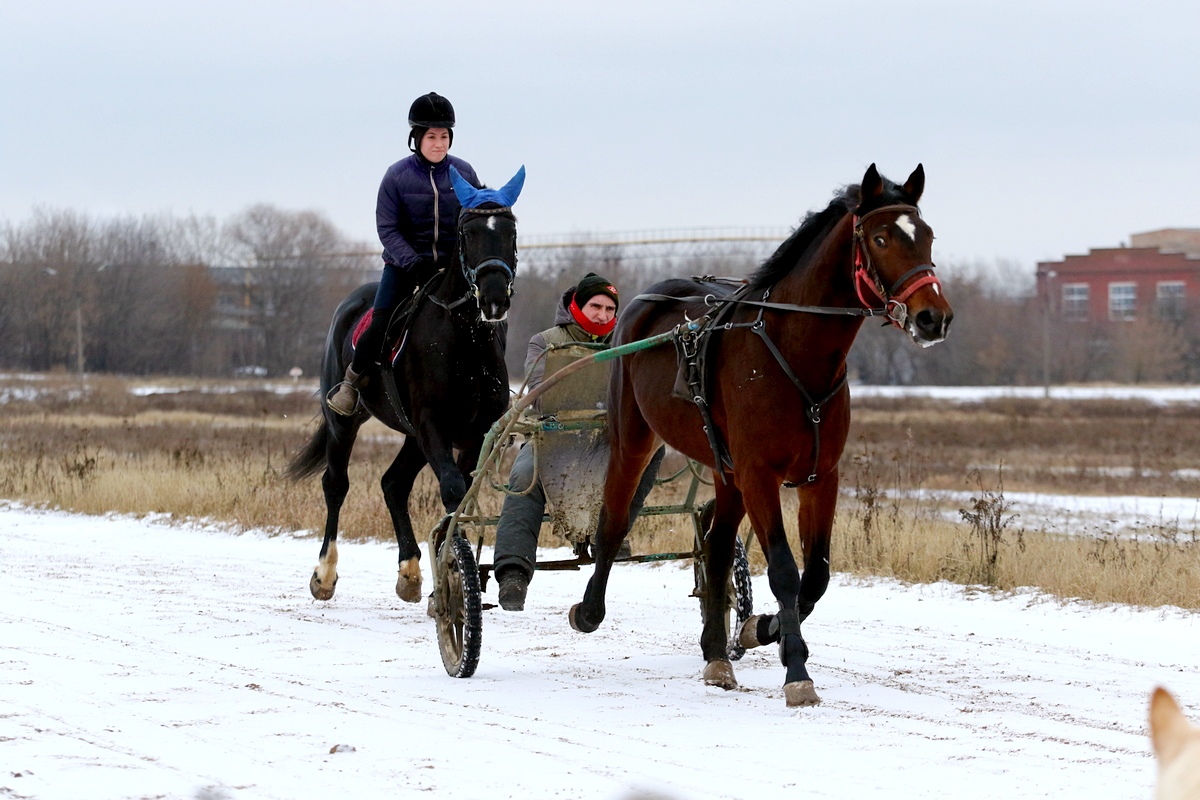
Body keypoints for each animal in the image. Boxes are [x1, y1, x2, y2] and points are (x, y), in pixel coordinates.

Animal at [288, 170, 523, 606]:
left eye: (510, 231)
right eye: (468, 232)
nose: (495, 297)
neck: (464, 342)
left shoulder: (472, 433)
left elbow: (460, 495)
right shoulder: (432, 424)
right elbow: (452, 490)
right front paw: (455, 575)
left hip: (413, 437)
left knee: (393, 484)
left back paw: (410, 572)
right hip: (345, 423)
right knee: (336, 484)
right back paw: (325, 574)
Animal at [566, 163, 950, 705]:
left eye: (928, 235)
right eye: (880, 238)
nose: (933, 316)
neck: (796, 356)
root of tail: (643, 301)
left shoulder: (819, 476)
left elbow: (816, 577)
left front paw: (759, 628)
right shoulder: (760, 474)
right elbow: (786, 573)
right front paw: (797, 673)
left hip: (726, 469)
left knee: (717, 545)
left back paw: (717, 654)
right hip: (633, 437)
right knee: (614, 522)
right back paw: (589, 610)